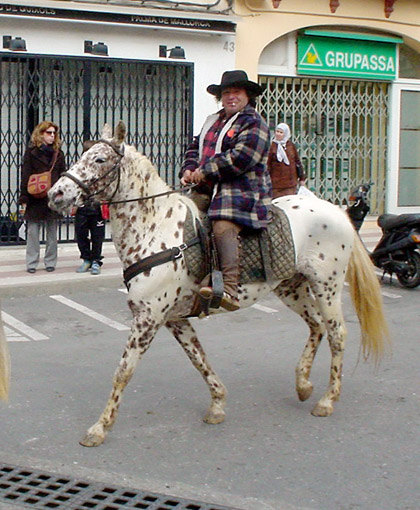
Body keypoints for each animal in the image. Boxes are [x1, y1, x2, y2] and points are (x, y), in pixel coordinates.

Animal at [49, 122, 390, 446]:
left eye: (99, 159)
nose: (56, 195)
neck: (156, 229)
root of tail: (336, 211)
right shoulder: (174, 319)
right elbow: (199, 359)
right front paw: (218, 404)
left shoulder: (148, 318)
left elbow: (123, 372)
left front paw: (99, 428)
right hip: (291, 288)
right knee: (316, 326)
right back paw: (303, 384)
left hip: (327, 286)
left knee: (337, 334)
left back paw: (327, 400)